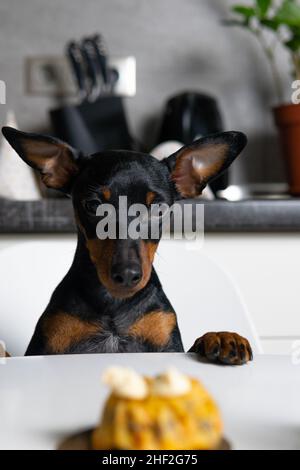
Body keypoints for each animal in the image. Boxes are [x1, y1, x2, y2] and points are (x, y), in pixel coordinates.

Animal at [1, 126, 253, 366]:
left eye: (158, 209)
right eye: (93, 205)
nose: (127, 275)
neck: (113, 304)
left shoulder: (168, 345)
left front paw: (221, 337)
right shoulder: (44, 347)